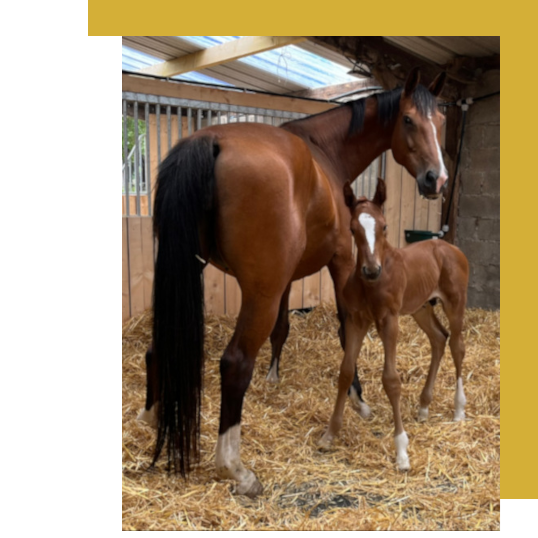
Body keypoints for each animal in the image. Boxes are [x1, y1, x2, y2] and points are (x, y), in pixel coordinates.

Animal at [137, 68, 450, 497]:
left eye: (441, 121)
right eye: (408, 120)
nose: (437, 180)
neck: (325, 152)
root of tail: (210, 140)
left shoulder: (285, 280)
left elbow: (283, 329)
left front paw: (275, 377)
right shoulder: (341, 263)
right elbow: (345, 330)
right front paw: (359, 400)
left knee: (157, 347)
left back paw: (153, 417)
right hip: (260, 294)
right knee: (234, 363)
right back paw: (235, 468)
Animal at [319, 179, 469, 471]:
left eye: (384, 226)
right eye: (352, 229)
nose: (371, 270)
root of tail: (451, 248)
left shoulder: (389, 321)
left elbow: (391, 380)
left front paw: (401, 452)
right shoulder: (357, 320)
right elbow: (345, 371)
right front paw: (330, 434)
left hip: (455, 303)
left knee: (457, 345)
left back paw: (458, 409)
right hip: (422, 307)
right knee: (439, 338)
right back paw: (423, 407)